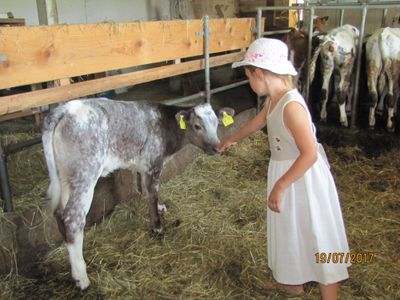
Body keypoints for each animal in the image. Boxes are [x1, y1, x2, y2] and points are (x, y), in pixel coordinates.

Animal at [42, 99, 233, 290]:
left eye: (217, 123)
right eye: (196, 126)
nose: (217, 147)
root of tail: (67, 108)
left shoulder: (144, 166)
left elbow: (150, 189)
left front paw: (161, 207)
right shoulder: (153, 163)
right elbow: (152, 192)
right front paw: (157, 226)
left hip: (66, 177)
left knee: (60, 213)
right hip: (85, 175)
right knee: (73, 219)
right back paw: (81, 277)